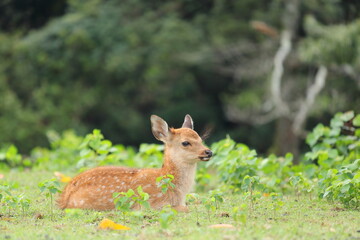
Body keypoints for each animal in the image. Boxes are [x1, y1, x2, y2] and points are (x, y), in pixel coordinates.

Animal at [57, 114, 212, 212]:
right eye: (185, 142)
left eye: (201, 139)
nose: (208, 152)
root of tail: (63, 198)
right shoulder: (150, 204)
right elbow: (186, 208)